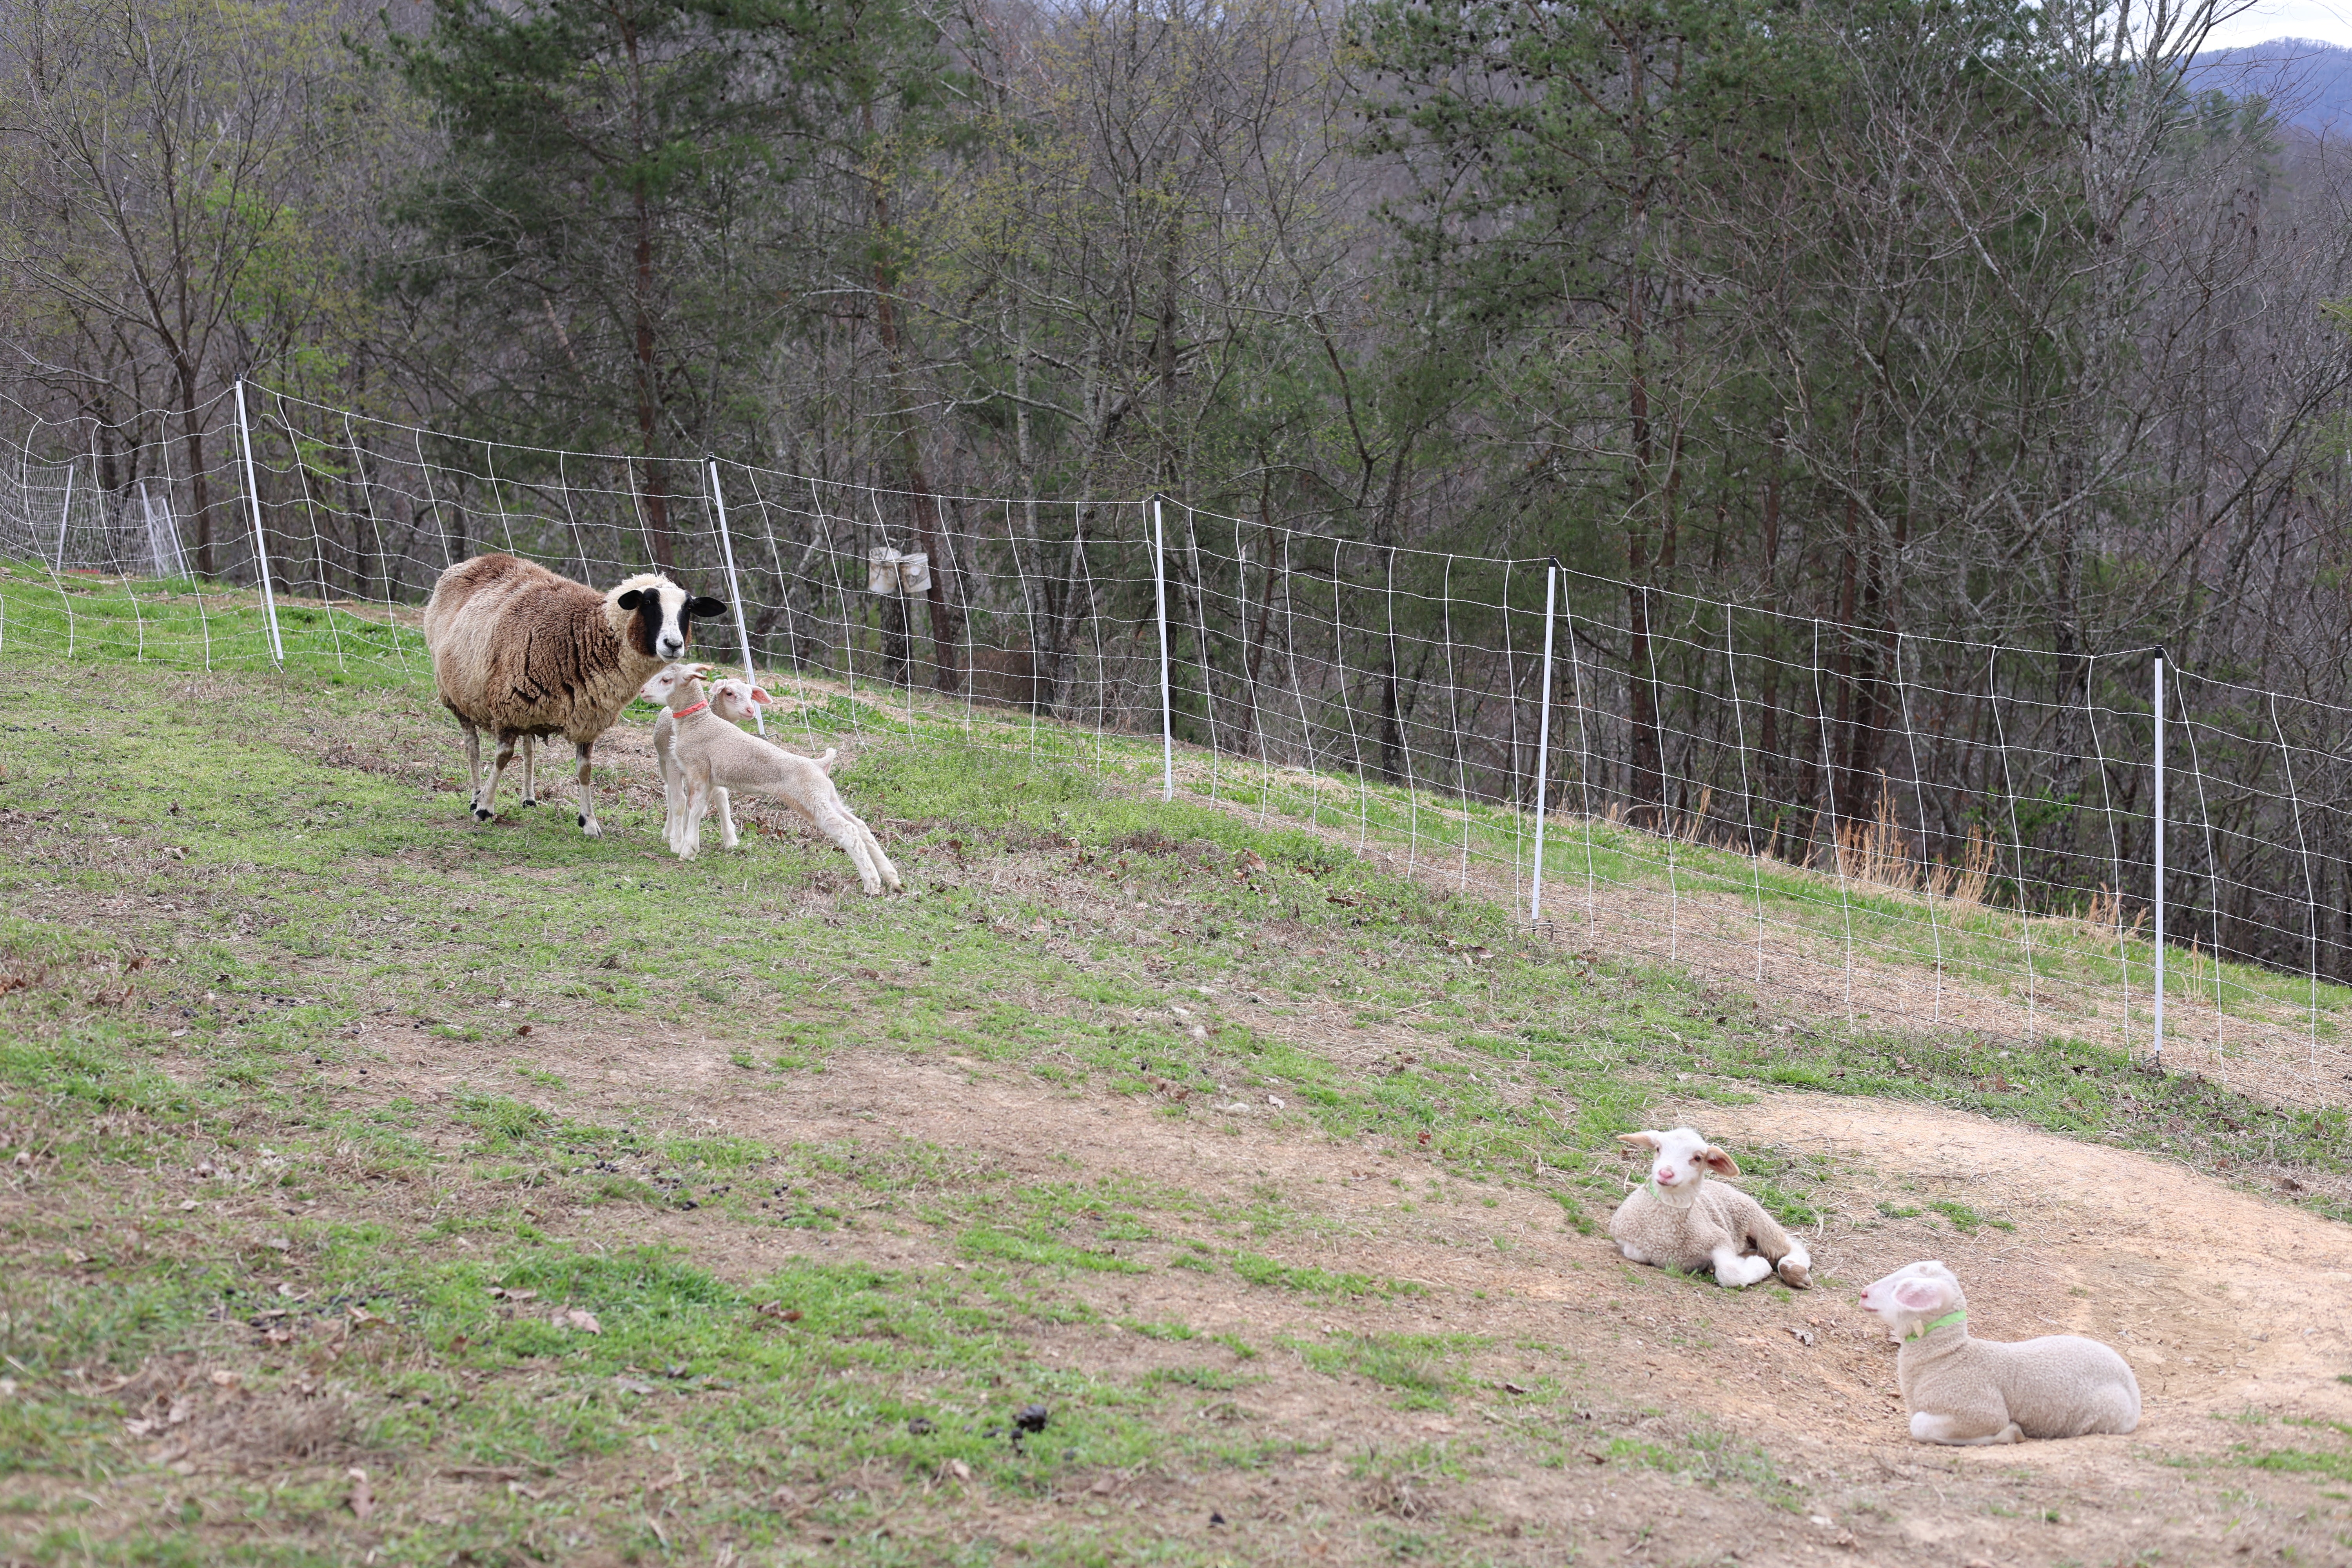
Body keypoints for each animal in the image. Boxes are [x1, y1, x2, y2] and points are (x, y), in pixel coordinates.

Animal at [421, 554, 723, 836]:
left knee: (528, 745)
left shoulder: (587, 718)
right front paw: (485, 808)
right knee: (473, 747)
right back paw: (475, 796)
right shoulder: (506, 707)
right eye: (648, 603)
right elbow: (502, 757)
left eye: (689, 608)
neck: (583, 634)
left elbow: (584, 771)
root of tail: (478, 560)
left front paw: (589, 822)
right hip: (458, 696)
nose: (673, 645)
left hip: (526, 707)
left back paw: (528, 798)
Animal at [637, 664, 901, 894]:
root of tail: (820, 764)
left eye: (666, 680)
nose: (642, 691)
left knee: (848, 831)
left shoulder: (698, 771)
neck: (697, 722)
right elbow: (701, 808)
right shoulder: (708, 778)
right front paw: (689, 844)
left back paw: (872, 884)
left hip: (810, 799)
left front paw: (688, 851)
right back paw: (891, 877)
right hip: (826, 797)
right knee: (861, 827)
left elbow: (692, 809)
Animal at [1607, 1128, 1811, 1289]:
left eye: (1698, 1158)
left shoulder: (1720, 1239)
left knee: (1791, 1248)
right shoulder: (1630, 1242)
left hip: (1758, 1220)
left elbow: (1731, 1275)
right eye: (1658, 1149)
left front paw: (1760, 1266)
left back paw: (1795, 1271)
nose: (1665, 1174)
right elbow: (1634, 1253)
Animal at [1859, 1260, 2140, 1445]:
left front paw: (2009, 1434)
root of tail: (2134, 1390)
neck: (1948, 1358)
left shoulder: (1979, 1410)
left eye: (1901, 1288)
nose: (1863, 1294)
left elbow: (1921, 1426)